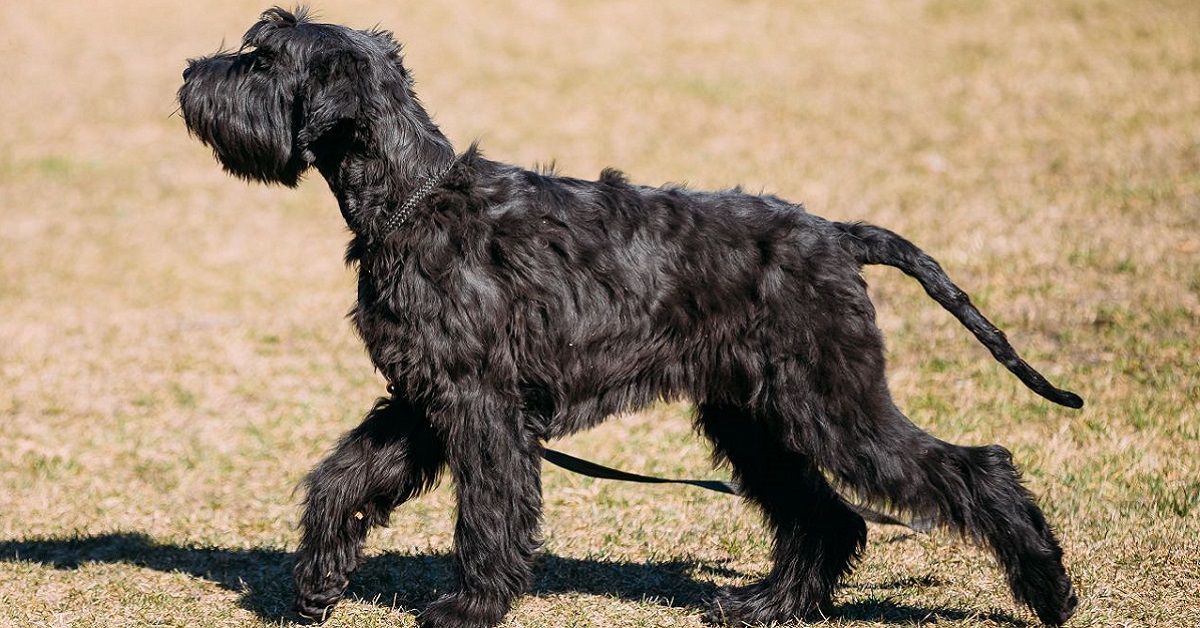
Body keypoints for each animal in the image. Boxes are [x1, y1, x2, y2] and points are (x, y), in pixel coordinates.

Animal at [180, 6, 1089, 628]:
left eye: (263, 58)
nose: (191, 73)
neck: (412, 201)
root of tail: (836, 234)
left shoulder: (479, 406)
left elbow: (488, 510)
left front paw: (470, 606)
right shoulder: (423, 400)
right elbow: (346, 476)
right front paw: (316, 581)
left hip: (834, 407)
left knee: (973, 468)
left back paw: (1048, 589)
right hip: (757, 420)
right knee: (826, 517)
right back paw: (766, 604)